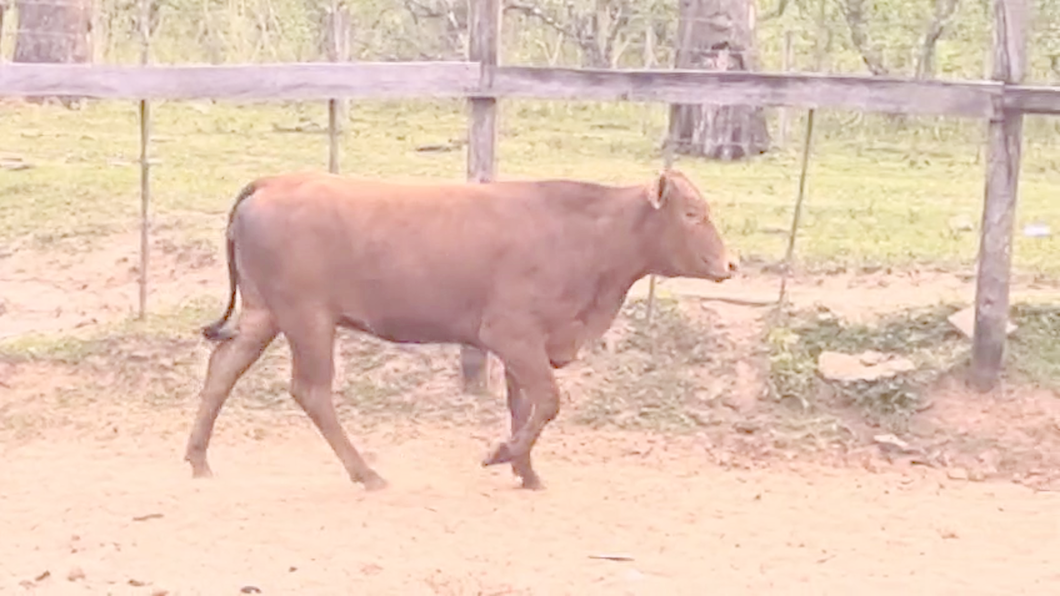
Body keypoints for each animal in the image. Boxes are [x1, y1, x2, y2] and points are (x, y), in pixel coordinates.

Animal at [182, 167, 737, 487]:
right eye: (693, 213)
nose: (730, 264)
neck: (581, 234)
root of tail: (275, 183)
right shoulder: (512, 335)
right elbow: (548, 402)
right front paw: (502, 455)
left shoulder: (525, 345)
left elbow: (524, 407)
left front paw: (526, 471)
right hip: (309, 318)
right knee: (311, 391)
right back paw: (366, 472)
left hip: (265, 314)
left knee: (222, 370)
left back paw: (199, 459)